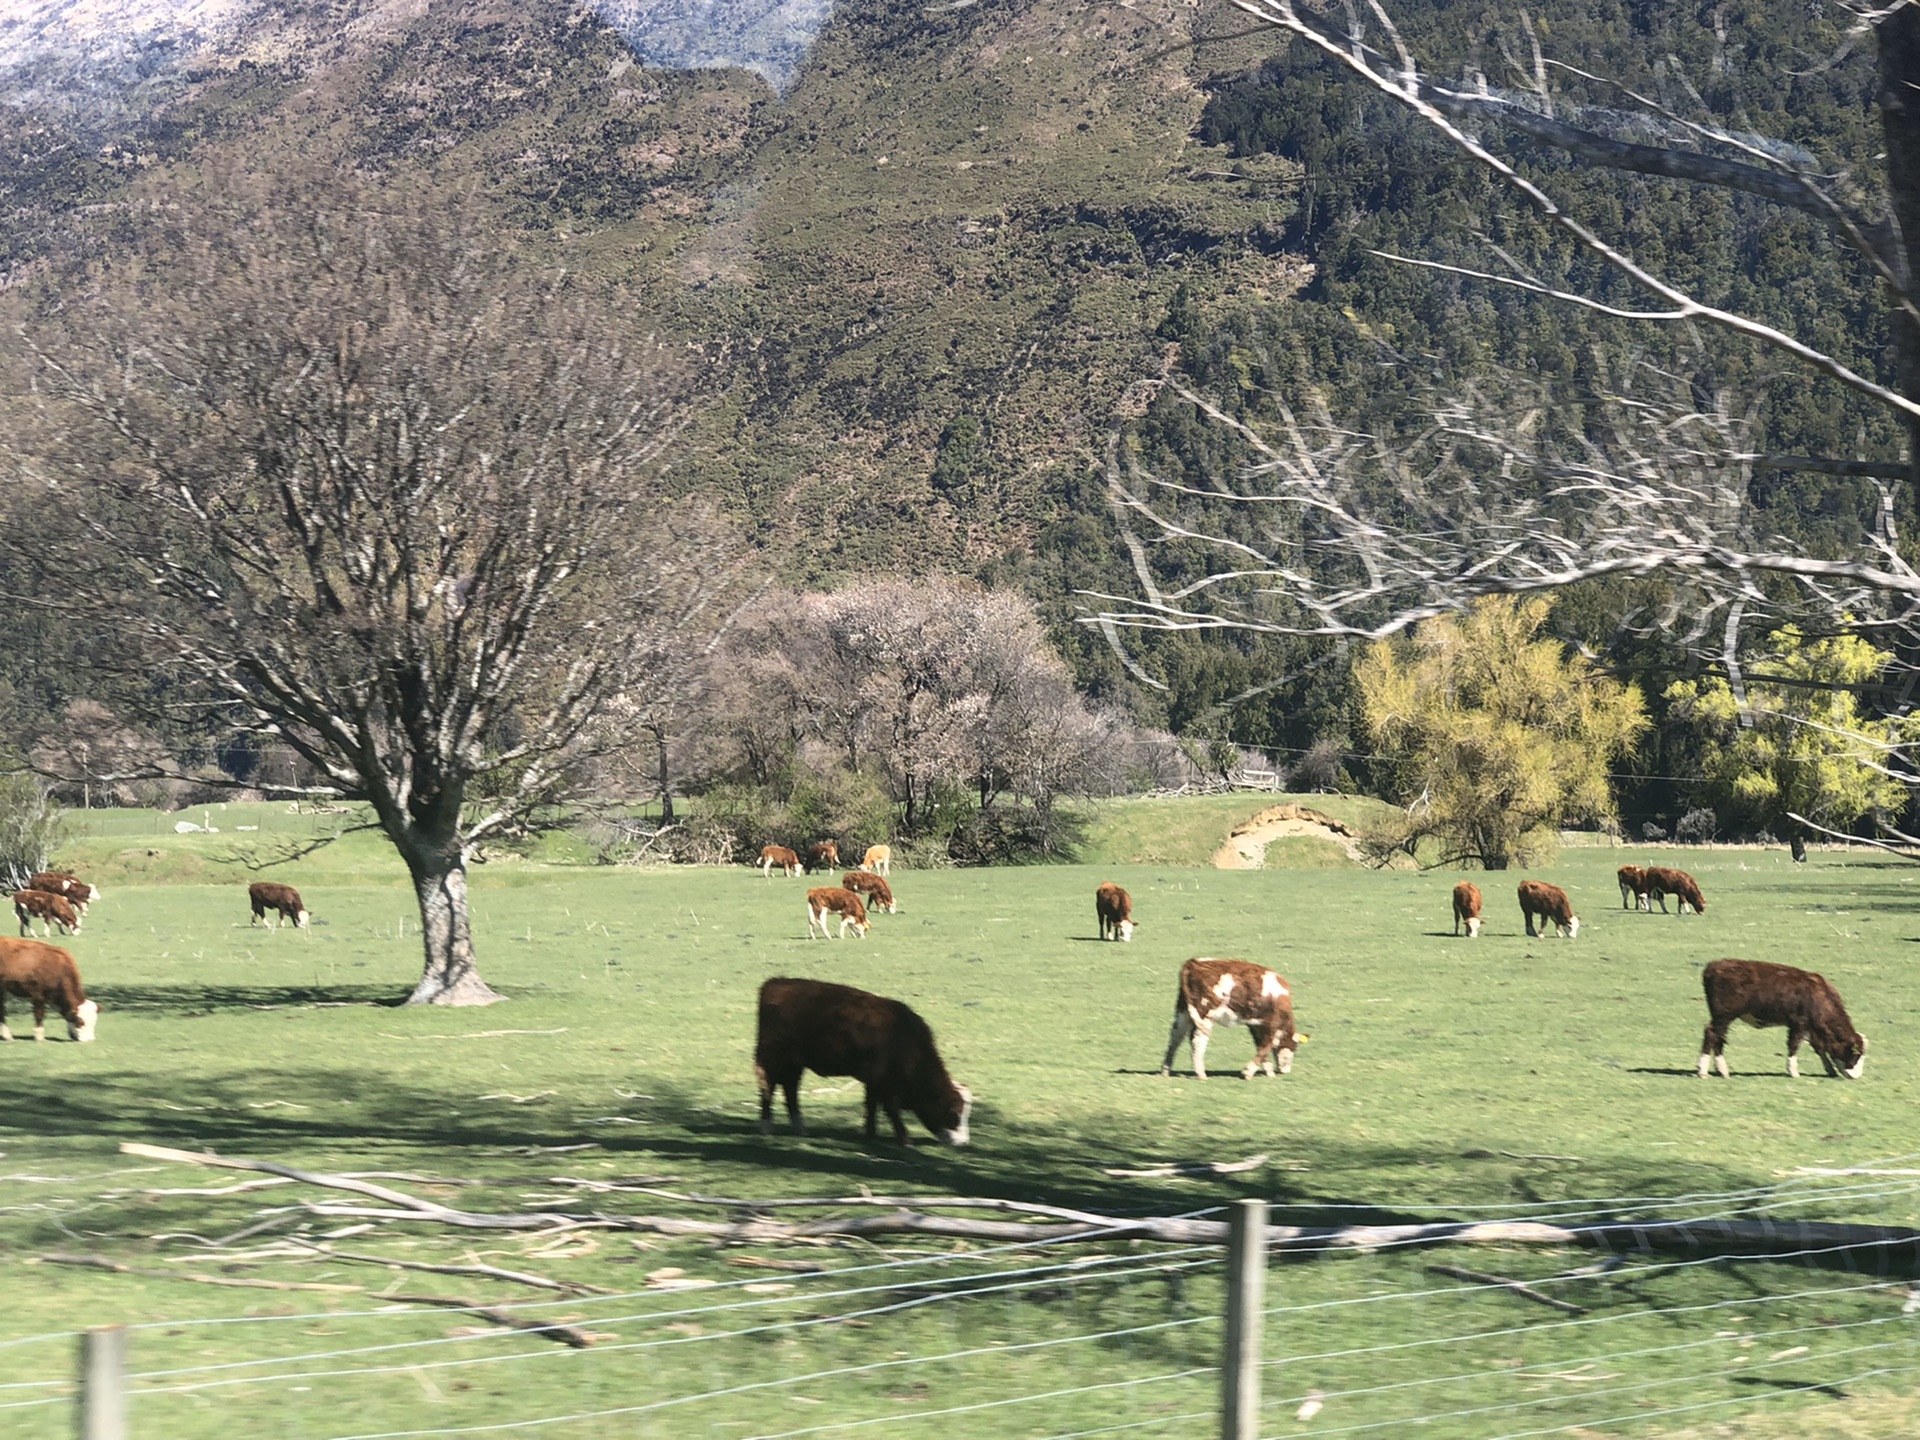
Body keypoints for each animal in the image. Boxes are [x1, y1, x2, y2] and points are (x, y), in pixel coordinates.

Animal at [752, 975, 967, 1144]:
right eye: (953, 1112)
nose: (963, 1142)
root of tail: (775, 982)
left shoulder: (875, 1080)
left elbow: (871, 1105)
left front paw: (871, 1133)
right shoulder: (884, 1082)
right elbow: (889, 1108)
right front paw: (904, 1139)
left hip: (794, 1064)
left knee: (790, 1089)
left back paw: (800, 1128)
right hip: (773, 1059)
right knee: (768, 1086)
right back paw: (766, 1127)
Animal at [1152, 960, 1305, 1082]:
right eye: (1294, 1047)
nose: (1285, 1071)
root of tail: (1193, 963)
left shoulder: (1256, 1024)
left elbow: (1260, 1045)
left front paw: (1268, 1070)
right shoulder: (1271, 1023)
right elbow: (1265, 1046)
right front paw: (1248, 1071)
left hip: (1183, 1013)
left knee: (1175, 1038)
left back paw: (1165, 1070)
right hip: (1204, 1015)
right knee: (1197, 1042)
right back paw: (1201, 1074)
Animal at [1704, 960, 1866, 1082]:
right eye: (1856, 1054)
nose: (1856, 1076)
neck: (1820, 994)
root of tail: (1714, 966)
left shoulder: (1812, 1028)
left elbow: (1819, 1047)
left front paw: (1830, 1069)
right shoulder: (1799, 1024)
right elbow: (1794, 1045)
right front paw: (1794, 1072)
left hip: (1723, 1019)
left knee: (1719, 1038)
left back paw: (1721, 1071)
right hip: (1723, 1017)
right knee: (1711, 1034)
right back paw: (1704, 1071)